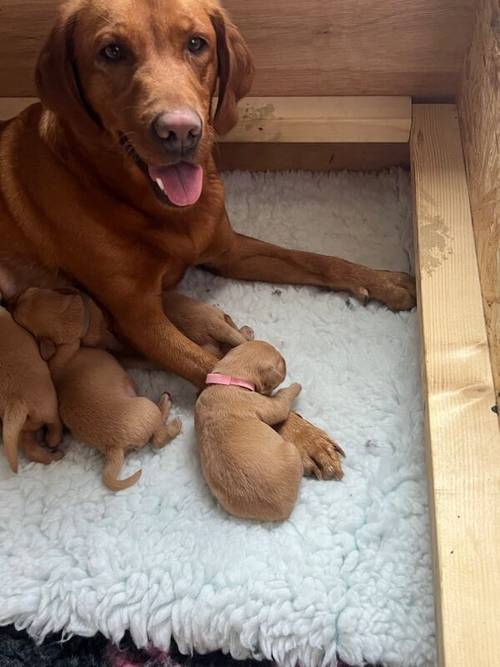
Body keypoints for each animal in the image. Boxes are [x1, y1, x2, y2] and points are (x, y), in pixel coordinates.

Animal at [0, 300, 62, 472]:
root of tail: (16, 402)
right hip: (48, 407)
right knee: (55, 424)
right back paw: (55, 444)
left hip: (22, 429)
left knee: (32, 450)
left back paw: (54, 456)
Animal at [14, 288, 184, 490]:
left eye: (32, 292)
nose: (13, 301)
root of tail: (114, 448)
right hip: (146, 407)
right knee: (158, 437)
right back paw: (170, 414)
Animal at [195, 342, 304, 524]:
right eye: (281, 362)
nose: (286, 363)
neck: (229, 380)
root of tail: (282, 511)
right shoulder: (271, 405)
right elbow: (283, 399)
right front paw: (296, 386)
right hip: (292, 452)